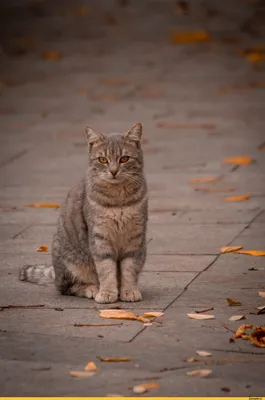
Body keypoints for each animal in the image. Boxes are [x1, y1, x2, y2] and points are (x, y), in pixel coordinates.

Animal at [19, 122, 147, 304]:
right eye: (103, 160)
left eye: (124, 159)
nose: (113, 171)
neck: (118, 199)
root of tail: (56, 273)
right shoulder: (99, 238)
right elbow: (106, 269)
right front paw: (107, 292)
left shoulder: (135, 238)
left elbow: (129, 269)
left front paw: (128, 291)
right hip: (70, 262)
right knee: (65, 287)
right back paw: (92, 288)